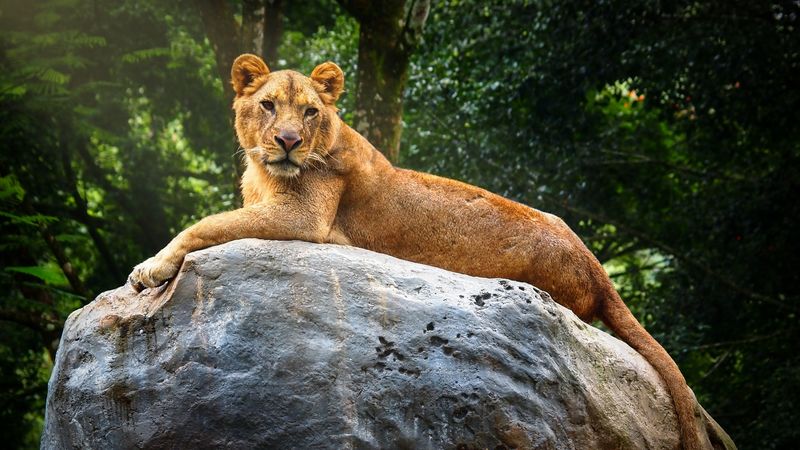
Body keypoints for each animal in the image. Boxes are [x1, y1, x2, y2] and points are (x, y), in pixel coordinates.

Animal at [128, 54, 726, 449]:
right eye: (268, 106)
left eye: (310, 112)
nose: (289, 142)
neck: (264, 171)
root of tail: (597, 267)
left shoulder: (303, 219)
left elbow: (203, 225)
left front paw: (150, 269)